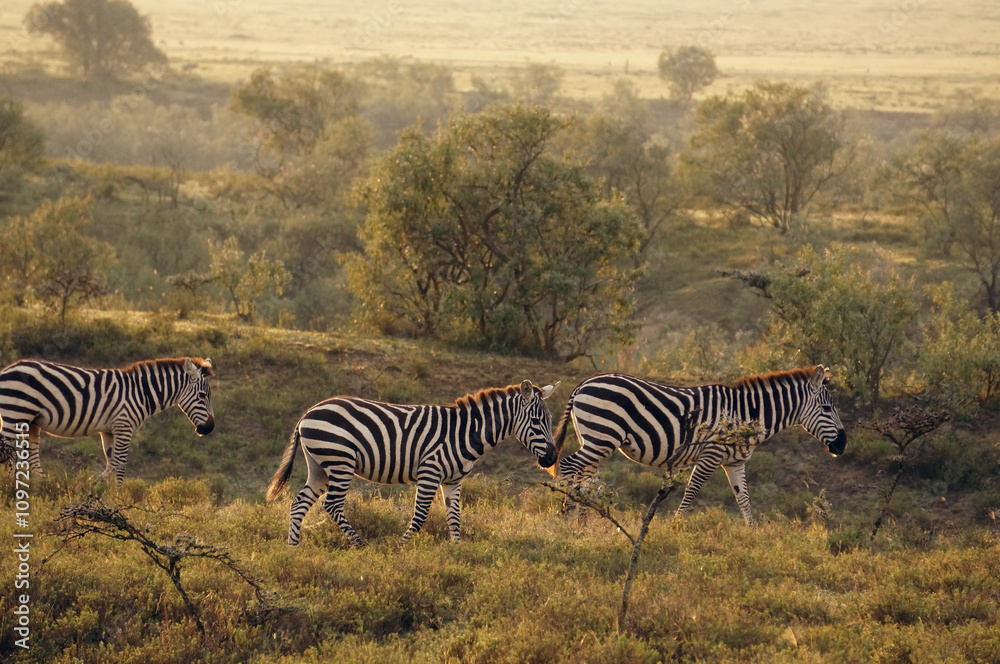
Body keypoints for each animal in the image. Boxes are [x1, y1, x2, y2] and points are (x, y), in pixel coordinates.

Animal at [0, 357, 216, 484]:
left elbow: (111, 463)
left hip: (31, 421)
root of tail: (7, 369)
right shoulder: (124, 427)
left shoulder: (109, 431)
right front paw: (118, 496)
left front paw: (97, 487)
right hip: (15, 414)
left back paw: (41, 485)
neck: (141, 393)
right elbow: (120, 463)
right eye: (203, 396)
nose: (210, 428)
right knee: (6, 451)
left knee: (31, 455)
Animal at [266, 380, 559, 547]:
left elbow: (455, 518)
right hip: (340, 461)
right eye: (537, 422)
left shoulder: (453, 480)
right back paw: (360, 545)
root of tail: (308, 412)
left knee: (299, 503)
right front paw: (400, 548)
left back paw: (293, 549)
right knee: (332, 505)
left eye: (550, 420)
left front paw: (458, 552)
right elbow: (420, 516)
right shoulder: (430, 471)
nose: (552, 458)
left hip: (320, 466)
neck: (465, 432)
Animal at [554, 366, 847, 527]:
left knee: (583, 478)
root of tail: (583, 383)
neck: (745, 414)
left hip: (594, 439)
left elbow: (744, 500)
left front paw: (752, 534)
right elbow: (692, 491)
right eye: (826, 409)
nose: (843, 445)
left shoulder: (735, 462)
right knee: (568, 466)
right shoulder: (711, 454)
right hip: (602, 436)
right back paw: (565, 517)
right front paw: (676, 525)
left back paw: (582, 522)